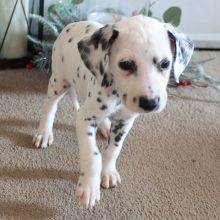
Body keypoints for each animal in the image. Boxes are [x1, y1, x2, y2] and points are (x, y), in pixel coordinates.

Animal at [31, 15, 193, 208]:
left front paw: (108, 172)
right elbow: (92, 155)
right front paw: (89, 188)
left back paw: (105, 126)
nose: (150, 103)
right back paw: (44, 133)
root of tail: (71, 25)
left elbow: (113, 149)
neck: (116, 94)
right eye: (126, 64)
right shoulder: (85, 119)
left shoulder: (125, 122)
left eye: (165, 63)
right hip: (58, 81)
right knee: (49, 107)